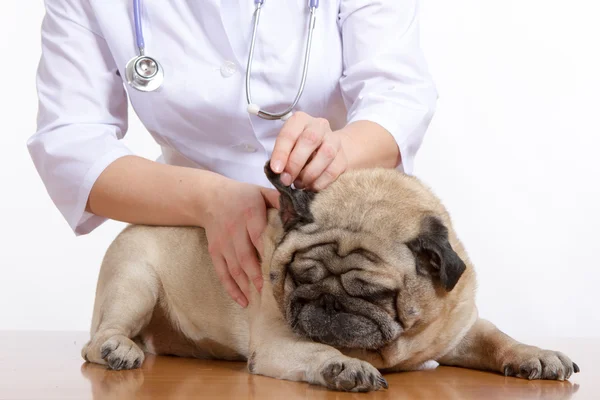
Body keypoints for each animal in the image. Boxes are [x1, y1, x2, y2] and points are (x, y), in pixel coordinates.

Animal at [82, 162, 580, 390]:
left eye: (374, 293)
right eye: (298, 277)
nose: (326, 300)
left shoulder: (460, 329)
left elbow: (499, 338)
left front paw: (536, 354)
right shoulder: (280, 342)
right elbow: (321, 350)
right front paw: (344, 365)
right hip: (135, 283)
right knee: (98, 340)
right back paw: (117, 349)